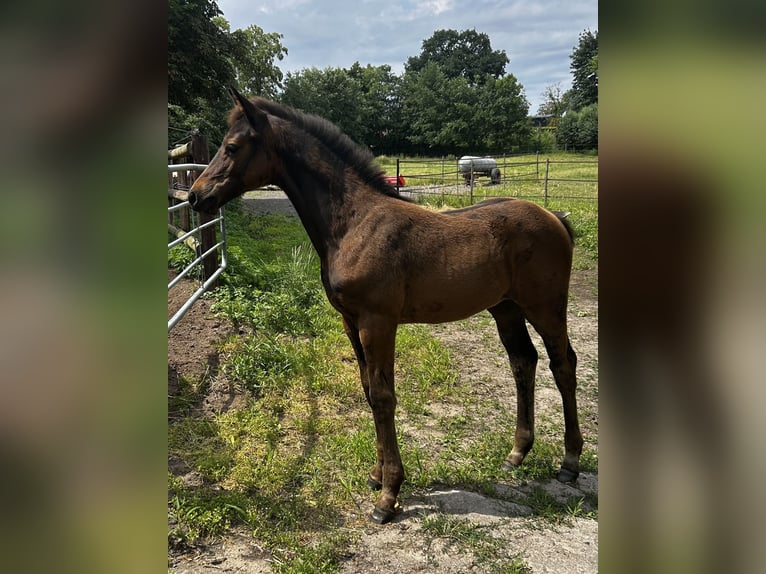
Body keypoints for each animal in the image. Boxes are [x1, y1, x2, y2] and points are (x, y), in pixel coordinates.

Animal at [189, 87, 583, 524]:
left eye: (232, 146)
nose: (195, 196)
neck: (353, 222)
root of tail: (555, 217)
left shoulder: (377, 322)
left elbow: (382, 396)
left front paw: (388, 496)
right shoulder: (350, 322)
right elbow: (367, 389)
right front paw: (377, 476)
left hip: (546, 306)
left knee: (563, 364)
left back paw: (570, 463)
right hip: (506, 308)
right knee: (523, 362)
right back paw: (517, 453)